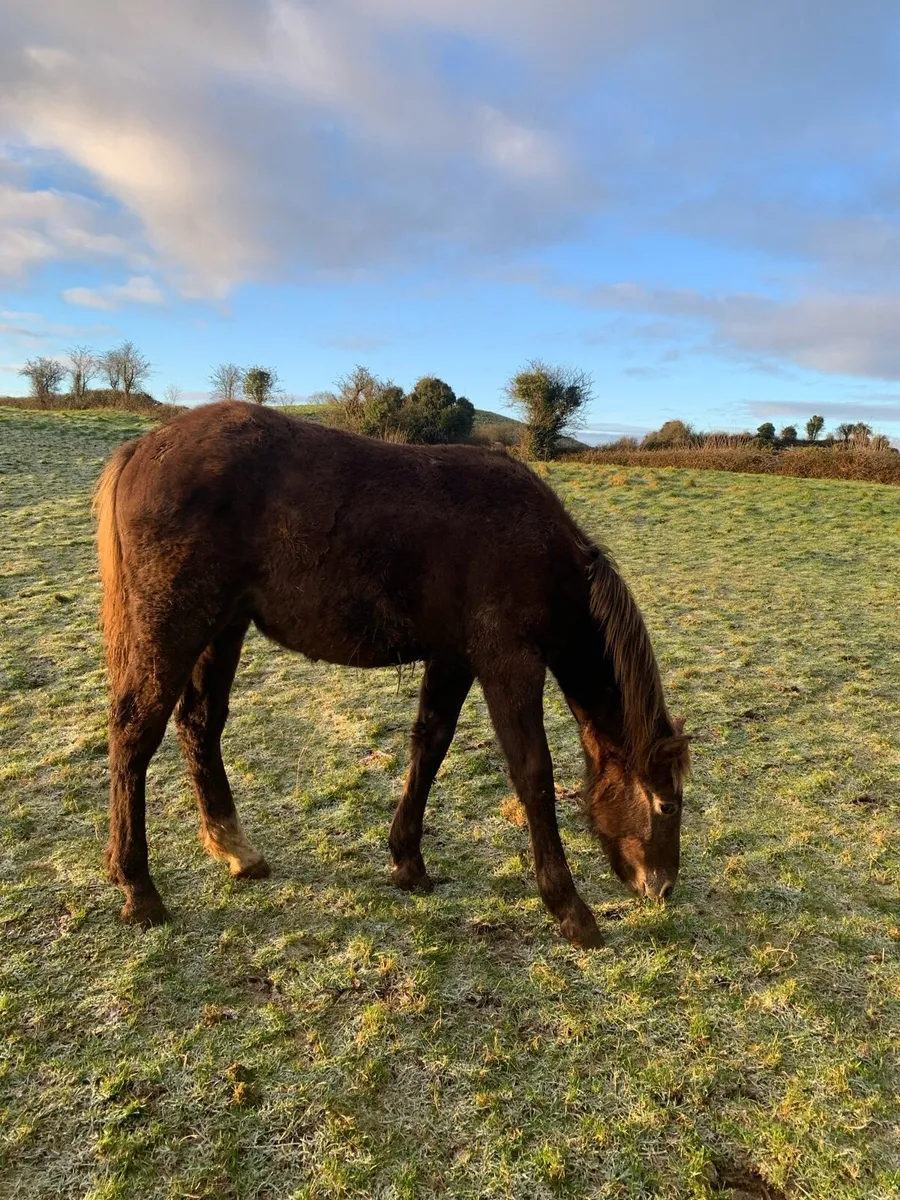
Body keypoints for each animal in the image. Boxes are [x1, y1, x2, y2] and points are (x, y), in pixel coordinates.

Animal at [94, 400, 690, 948]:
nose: (662, 888)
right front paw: (569, 908)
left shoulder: (453, 658)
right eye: (666, 803)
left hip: (223, 627)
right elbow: (534, 774)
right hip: (174, 627)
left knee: (200, 724)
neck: (536, 547)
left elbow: (430, 745)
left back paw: (235, 849)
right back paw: (138, 888)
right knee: (134, 735)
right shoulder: (509, 662)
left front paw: (408, 861)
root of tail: (142, 449)